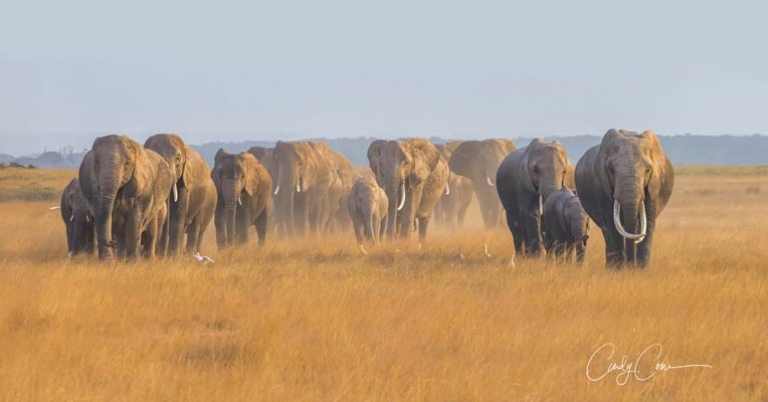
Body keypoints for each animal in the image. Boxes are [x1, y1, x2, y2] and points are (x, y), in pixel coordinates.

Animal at [575, 129, 674, 268]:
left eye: (648, 170)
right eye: (611, 170)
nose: (631, 265)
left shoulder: (654, 186)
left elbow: (647, 220)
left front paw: (640, 270)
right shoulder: (602, 188)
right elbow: (611, 223)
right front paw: (619, 270)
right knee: (607, 231)